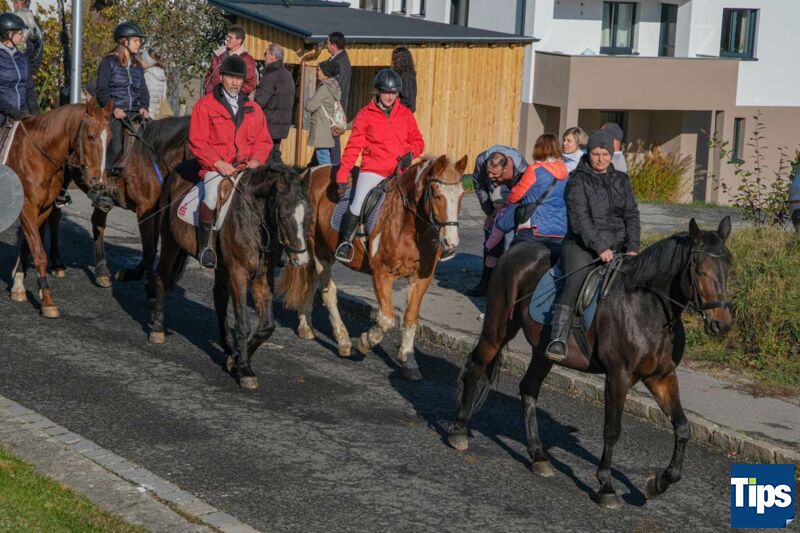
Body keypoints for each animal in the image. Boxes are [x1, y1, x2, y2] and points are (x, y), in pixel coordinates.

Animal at [9, 98, 113, 318]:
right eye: (90, 136)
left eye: (110, 139)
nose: (99, 181)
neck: (37, 155)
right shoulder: (27, 207)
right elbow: (39, 253)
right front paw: (47, 301)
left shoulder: (43, 208)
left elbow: (28, 245)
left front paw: (19, 285)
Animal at [149, 162, 311, 390]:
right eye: (283, 215)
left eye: (308, 215)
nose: (302, 260)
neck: (255, 219)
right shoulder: (238, 273)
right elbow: (243, 323)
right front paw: (244, 369)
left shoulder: (263, 276)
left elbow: (267, 327)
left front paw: (235, 360)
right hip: (171, 243)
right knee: (161, 279)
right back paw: (157, 328)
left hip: (220, 267)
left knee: (219, 299)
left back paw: (227, 347)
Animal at [279, 154, 467, 380]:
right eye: (437, 195)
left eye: (461, 195)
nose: (451, 243)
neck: (408, 224)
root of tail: (313, 173)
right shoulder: (382, 274)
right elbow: (387, 319)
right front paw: (366, 341)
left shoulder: (422, 278)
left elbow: (410, 318)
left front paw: (409, 360)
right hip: (319, 251)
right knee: (328, 293)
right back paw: (343, 341)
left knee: (312, 283)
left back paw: (305, 326)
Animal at [448, 217, 733, 508]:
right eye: (699, 270)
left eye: (728, 269)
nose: (722, 324)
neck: (648, 308)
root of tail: (514, 250)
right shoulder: (618, 376)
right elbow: (612, 430)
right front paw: (606, 486)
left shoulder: (661, 376)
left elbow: (682, 427)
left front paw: (659, 483)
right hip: (498, 329)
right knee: (475, 367)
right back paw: (459, 431)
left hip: (541, 351)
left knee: (528, 388)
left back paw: (539, 457)